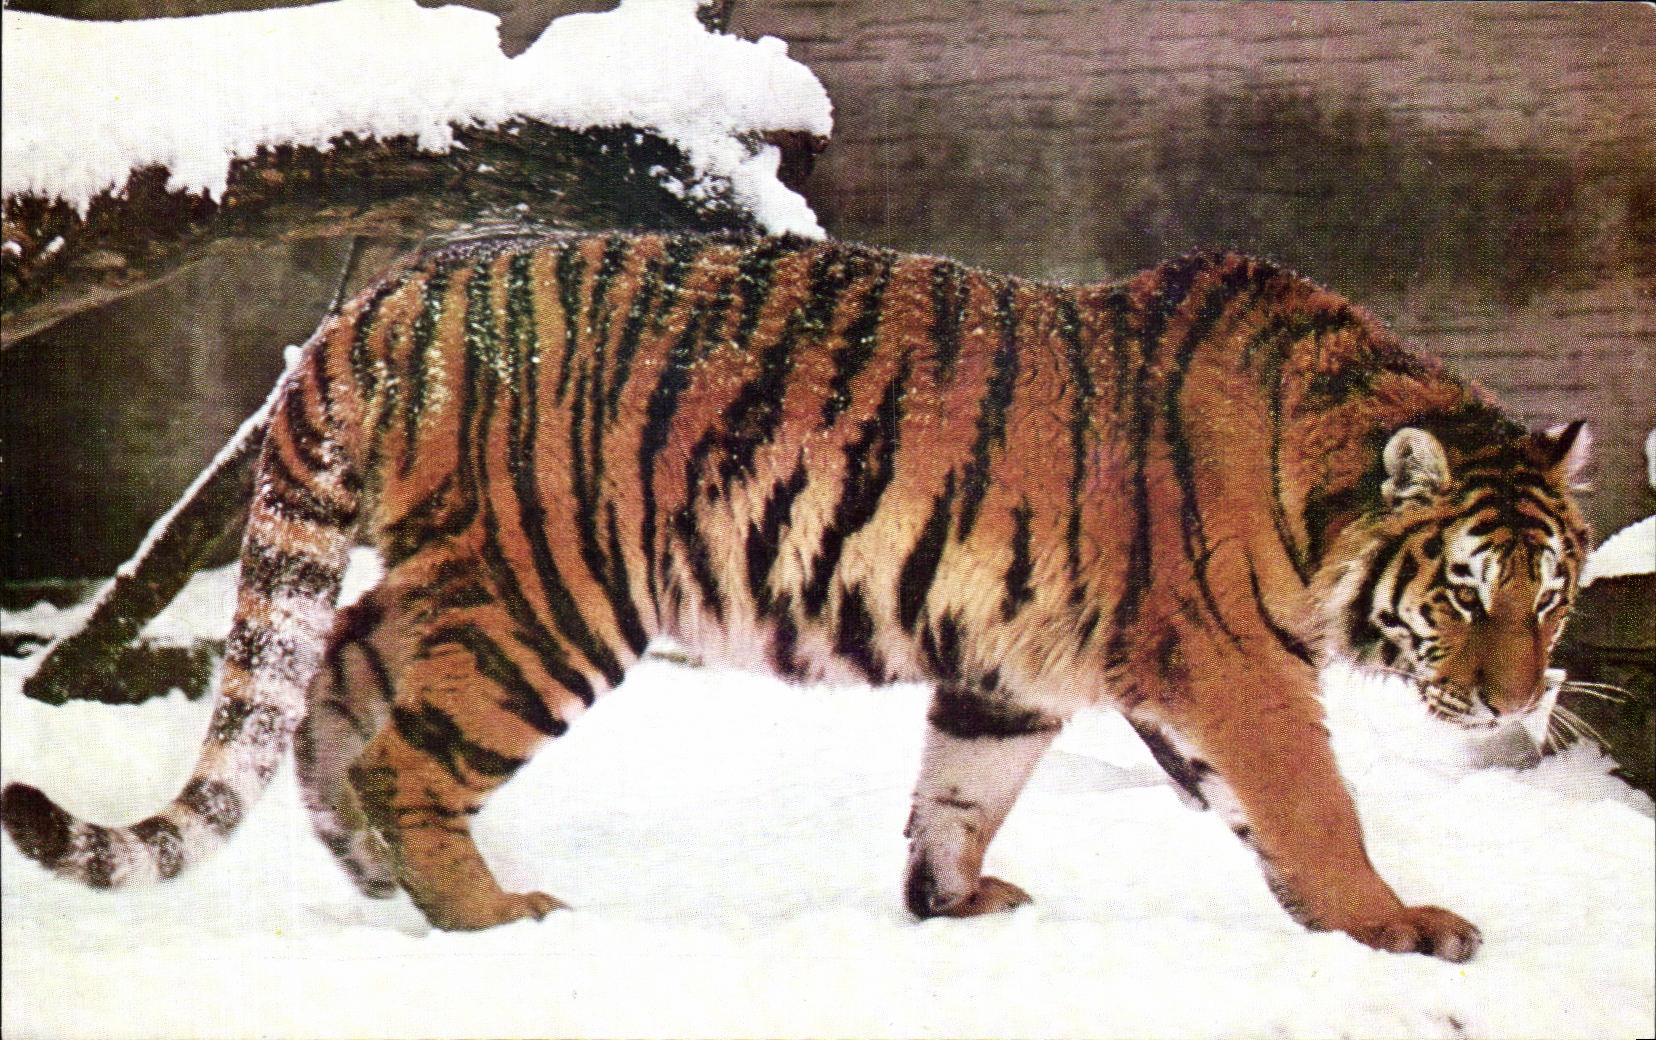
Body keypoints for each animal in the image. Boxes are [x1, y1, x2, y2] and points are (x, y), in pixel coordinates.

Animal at [2, 230, 1590, 962]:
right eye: (1465, 593)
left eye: (1556, 599)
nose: (1523, 698)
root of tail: (386, 295)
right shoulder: (1233, 665)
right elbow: (1313, 801)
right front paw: (1397, 927)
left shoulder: (1014, 672)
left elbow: (962, 790)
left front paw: (951, 904)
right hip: (549, 599)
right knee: (406, 748)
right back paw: (492, 915)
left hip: (461, 574)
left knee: (332, 665)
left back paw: (373, 873)